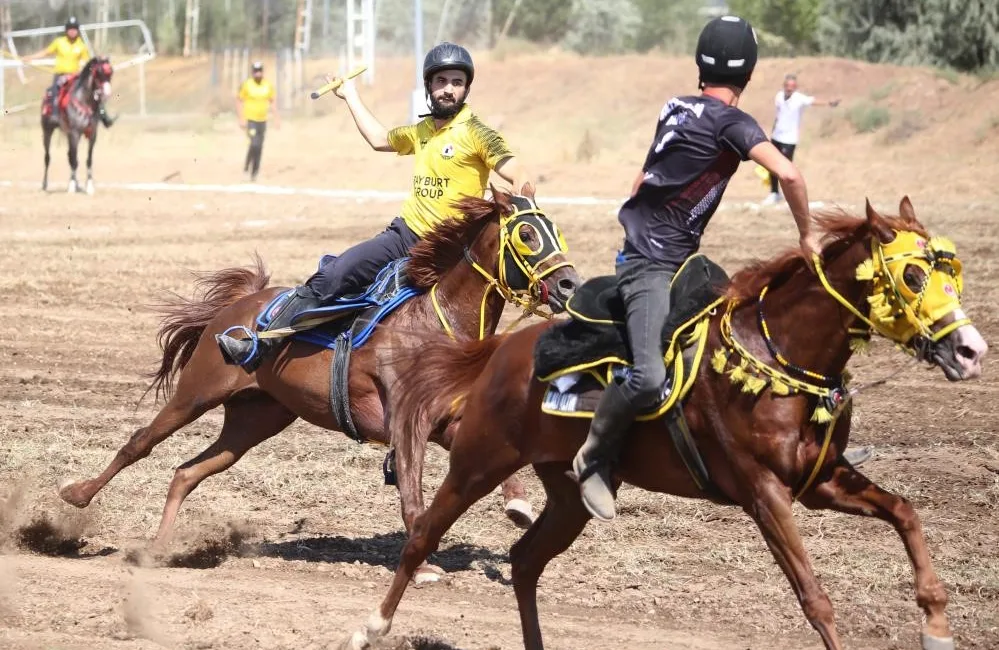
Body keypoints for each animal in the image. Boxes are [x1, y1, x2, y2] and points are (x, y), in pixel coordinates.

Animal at [41, 56, 112, 194]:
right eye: (99, 72)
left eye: (110, 73)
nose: (107, 93)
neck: (85, 101)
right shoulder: (75, 133)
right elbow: (74, 160)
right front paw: (72, 186)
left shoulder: (92, 134)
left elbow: (88, 160)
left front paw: (89, 186)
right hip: (47, 131)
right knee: (47, 157)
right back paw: (45, 185)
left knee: (69, 156)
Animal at [56, 187, 580, 584]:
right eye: (527, 234)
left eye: (557, 230)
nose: (570, 285)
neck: (434, 321)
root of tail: (239, 307)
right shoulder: (406, 425)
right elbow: (412, 494)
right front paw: (425, 568)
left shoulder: (442, 424)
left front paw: (519, 505)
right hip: (197, 393)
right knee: (139, 443)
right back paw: (76, 496)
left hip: (255, 420)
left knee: (188, 471)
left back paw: (159, 548)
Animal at [348, 197, 988, 648]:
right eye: (912, 277)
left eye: (952, 275)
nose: (971, 350)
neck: (777, 351)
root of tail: (504, 348)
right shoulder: (764, 494)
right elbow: (814, 598)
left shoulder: (823, 480)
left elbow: (906, 513)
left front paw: (936, 624)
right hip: (480, 459)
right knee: (423, 536)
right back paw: (370, 628)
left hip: (568, 495)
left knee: (526, 561)